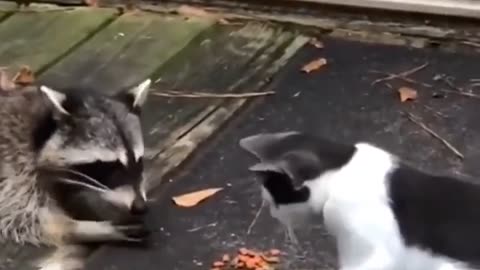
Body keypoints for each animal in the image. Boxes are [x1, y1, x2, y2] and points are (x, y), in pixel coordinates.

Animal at [0, 78, 152, 268]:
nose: (140, 207)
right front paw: (82, 228)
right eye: (110, 165)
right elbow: (28, 220)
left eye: (138, 160)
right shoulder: (14, 169)